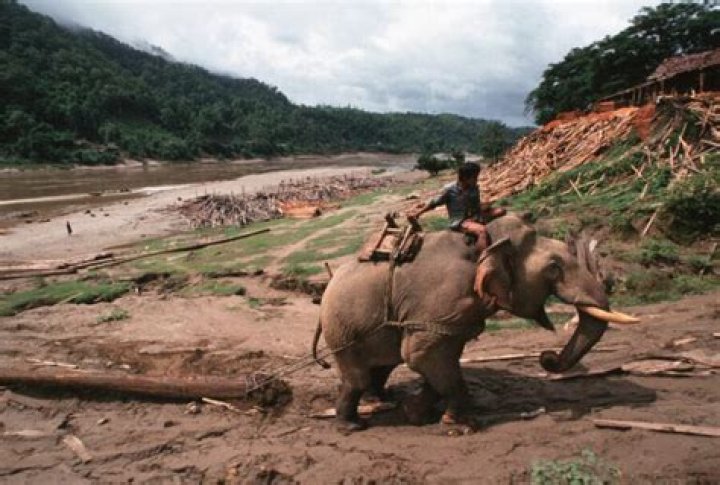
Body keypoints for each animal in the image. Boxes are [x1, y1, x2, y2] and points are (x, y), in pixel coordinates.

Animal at [313, 213, 638, 431]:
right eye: (554, 268)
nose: (547, 357)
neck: (487, 244)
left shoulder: (453, 316)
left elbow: (439, 361)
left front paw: (417, 414)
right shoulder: (442, 302)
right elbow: (421, 355)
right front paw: (459, 426)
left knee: (382, 366)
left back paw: (384, 398)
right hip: (342, 329)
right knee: (358, 376)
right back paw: (352, 425)